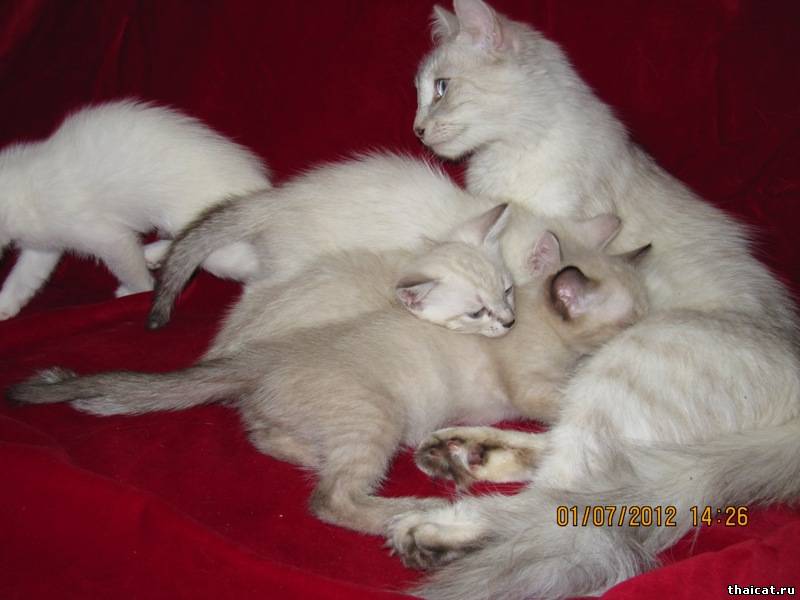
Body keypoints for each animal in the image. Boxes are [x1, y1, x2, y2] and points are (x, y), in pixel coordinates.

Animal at [0, 99, 270, 319]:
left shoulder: (107, 236)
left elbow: (130, 269)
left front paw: (137, 291)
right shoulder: (42, 245)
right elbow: (24, 278)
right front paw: (6, 305)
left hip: (216, 244)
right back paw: (154, 254)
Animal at [8, 223, 648, 535]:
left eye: (648, 309)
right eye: (634, 321)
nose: (656, 328)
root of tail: (264, 353)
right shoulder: (531, 386)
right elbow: (563, 396)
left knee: (267, 437)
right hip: (374, 418)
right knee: (329, 500)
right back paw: (412, 509)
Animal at [385, 1, 800, 598]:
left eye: (441, 88)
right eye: (421, 93)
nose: (416, 129)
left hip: (627, 367)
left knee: (564, 498)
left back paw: (432, 526)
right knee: (573, 466)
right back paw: (463, 453)